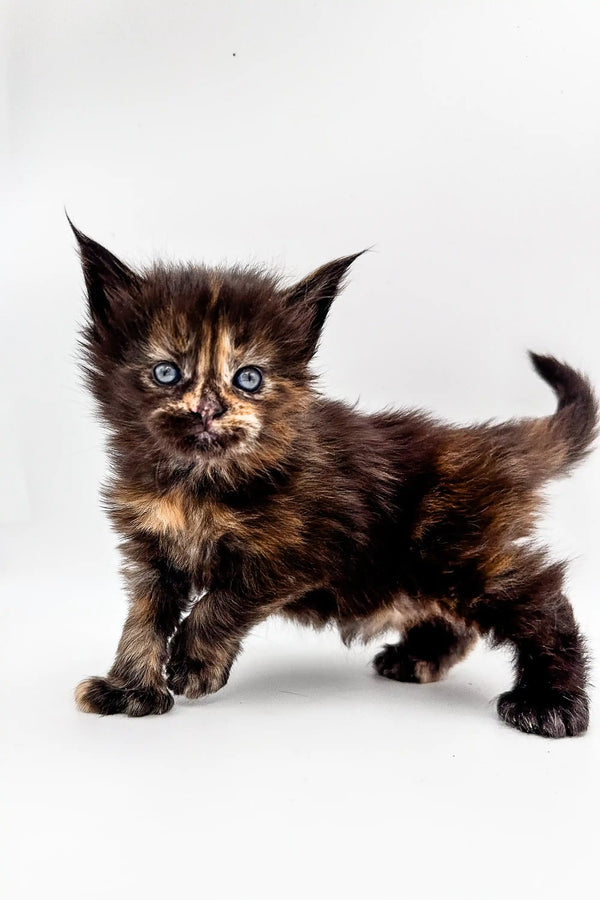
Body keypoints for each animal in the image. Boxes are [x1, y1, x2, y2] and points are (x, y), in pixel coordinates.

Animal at [70, 221, 596, 736]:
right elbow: (142, 620)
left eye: (249, 378)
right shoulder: (151, 551)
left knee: (541, 599)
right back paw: (418, 658)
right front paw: (130, 691)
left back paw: (550, 702)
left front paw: (194, 662)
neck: (196, 484)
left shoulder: (302, 548)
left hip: (456, 550)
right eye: (166, 372)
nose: (208, 410)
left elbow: (223, 601)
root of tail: (483, 441)